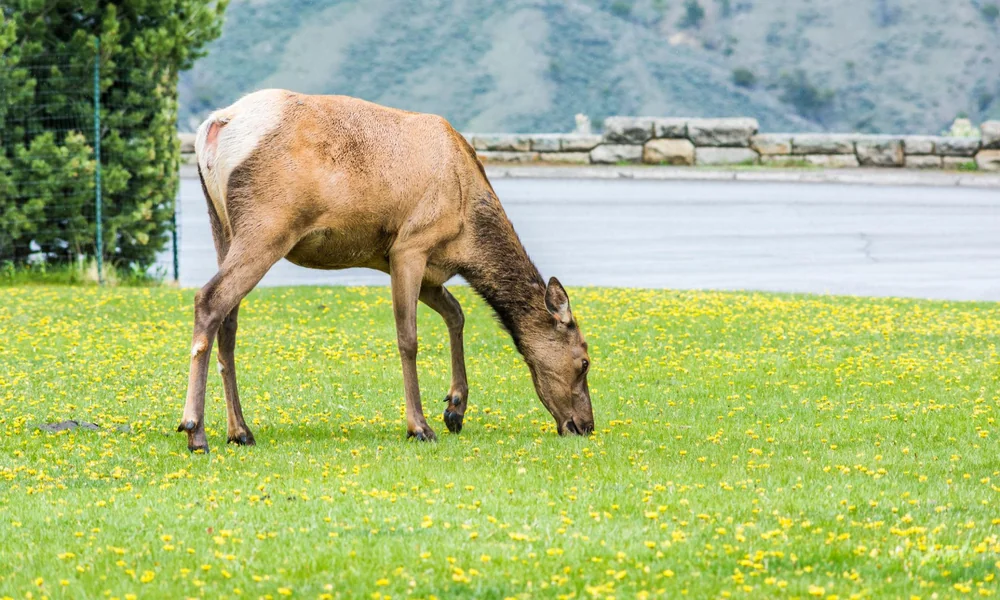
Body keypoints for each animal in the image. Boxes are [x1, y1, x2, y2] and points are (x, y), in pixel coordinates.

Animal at [178, 89, 594, 452]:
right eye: (585, 361)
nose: (586, 425)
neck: (467, 236)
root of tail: (216, 126)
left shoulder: (427, 268)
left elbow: (456, 313)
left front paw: (455, 408)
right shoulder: (410, 245)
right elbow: (408, 338)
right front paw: (420, 426)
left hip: (222, 225)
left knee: (229, 321)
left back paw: (240, 431)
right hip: (268, 224)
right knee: (209, 300)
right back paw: (195, 431)